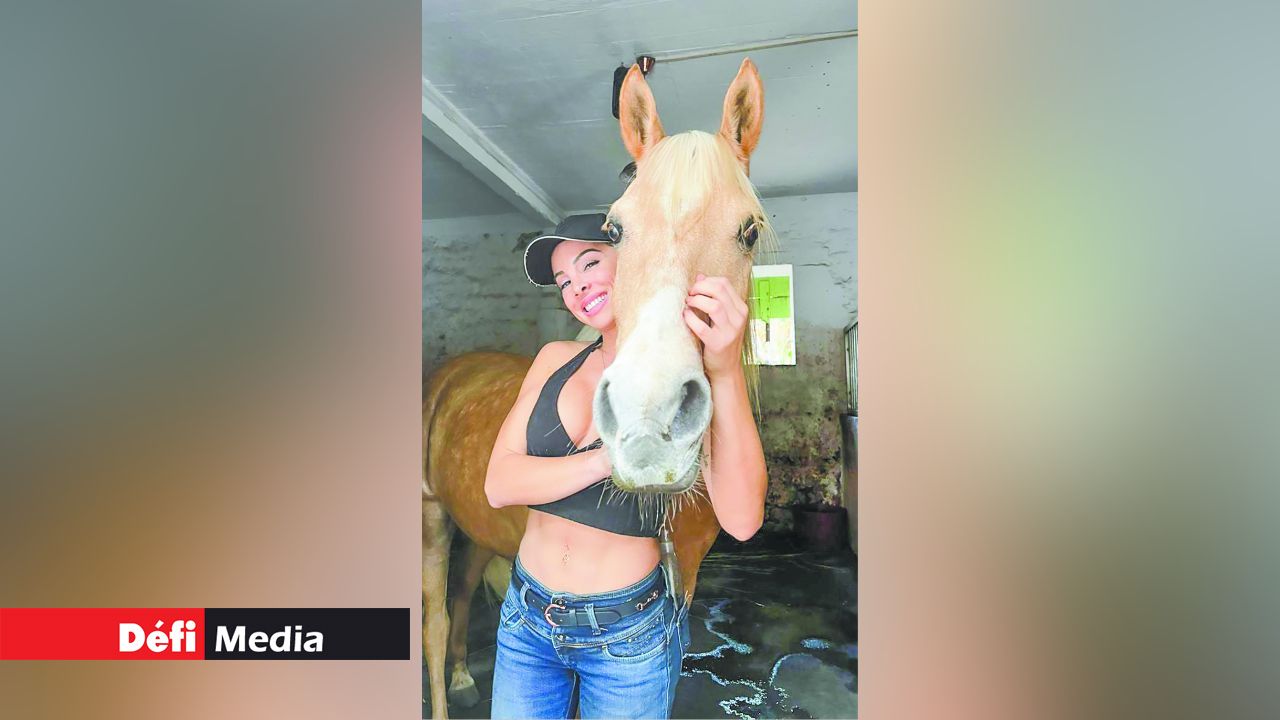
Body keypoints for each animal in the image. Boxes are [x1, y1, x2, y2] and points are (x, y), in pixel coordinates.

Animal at [423, 57, 771, 719]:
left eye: (749, 231)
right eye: (614, 229)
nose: (649, 426)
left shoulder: (682, 586)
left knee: (462, 592)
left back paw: (460, 675)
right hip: (431, 518)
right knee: (433, 620)